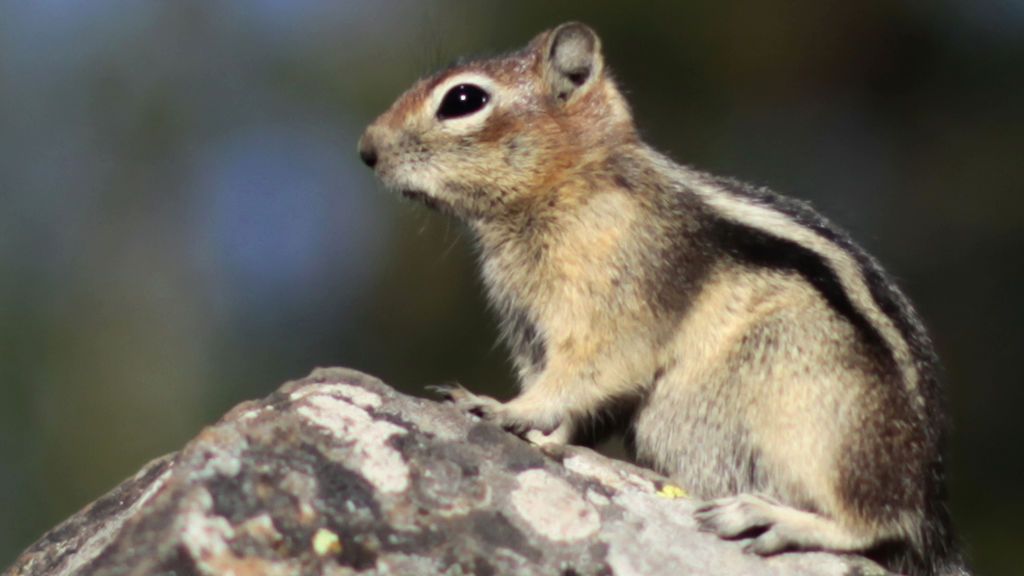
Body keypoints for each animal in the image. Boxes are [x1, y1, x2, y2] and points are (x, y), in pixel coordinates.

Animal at [358, 21, 966, 569]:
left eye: (463, 100)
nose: (366, 149)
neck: (574, 182)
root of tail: (929, 508)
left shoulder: (614, 306)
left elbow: (586, 375)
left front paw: (498, 406)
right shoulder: (531, 331)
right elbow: (578, 406)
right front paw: (544, 432)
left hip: (821, 423)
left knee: (873, 524)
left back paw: (766, 515)